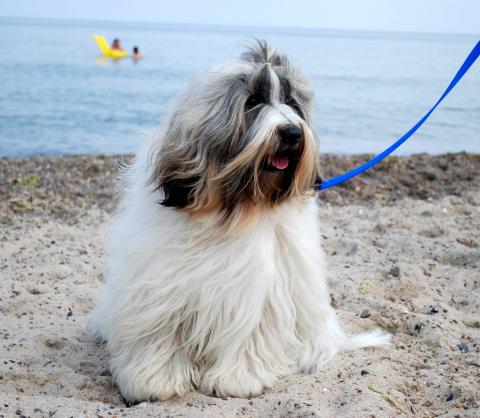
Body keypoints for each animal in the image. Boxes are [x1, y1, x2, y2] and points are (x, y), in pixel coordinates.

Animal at [89, 40, 390, 404]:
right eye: (253, 102)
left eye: (292, 103)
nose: (292, 132)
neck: (233, 210)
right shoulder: (160, 286)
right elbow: (160, 332)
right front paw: (153, 380)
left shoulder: (260, 290)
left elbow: (250, 332)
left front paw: (237, 379)